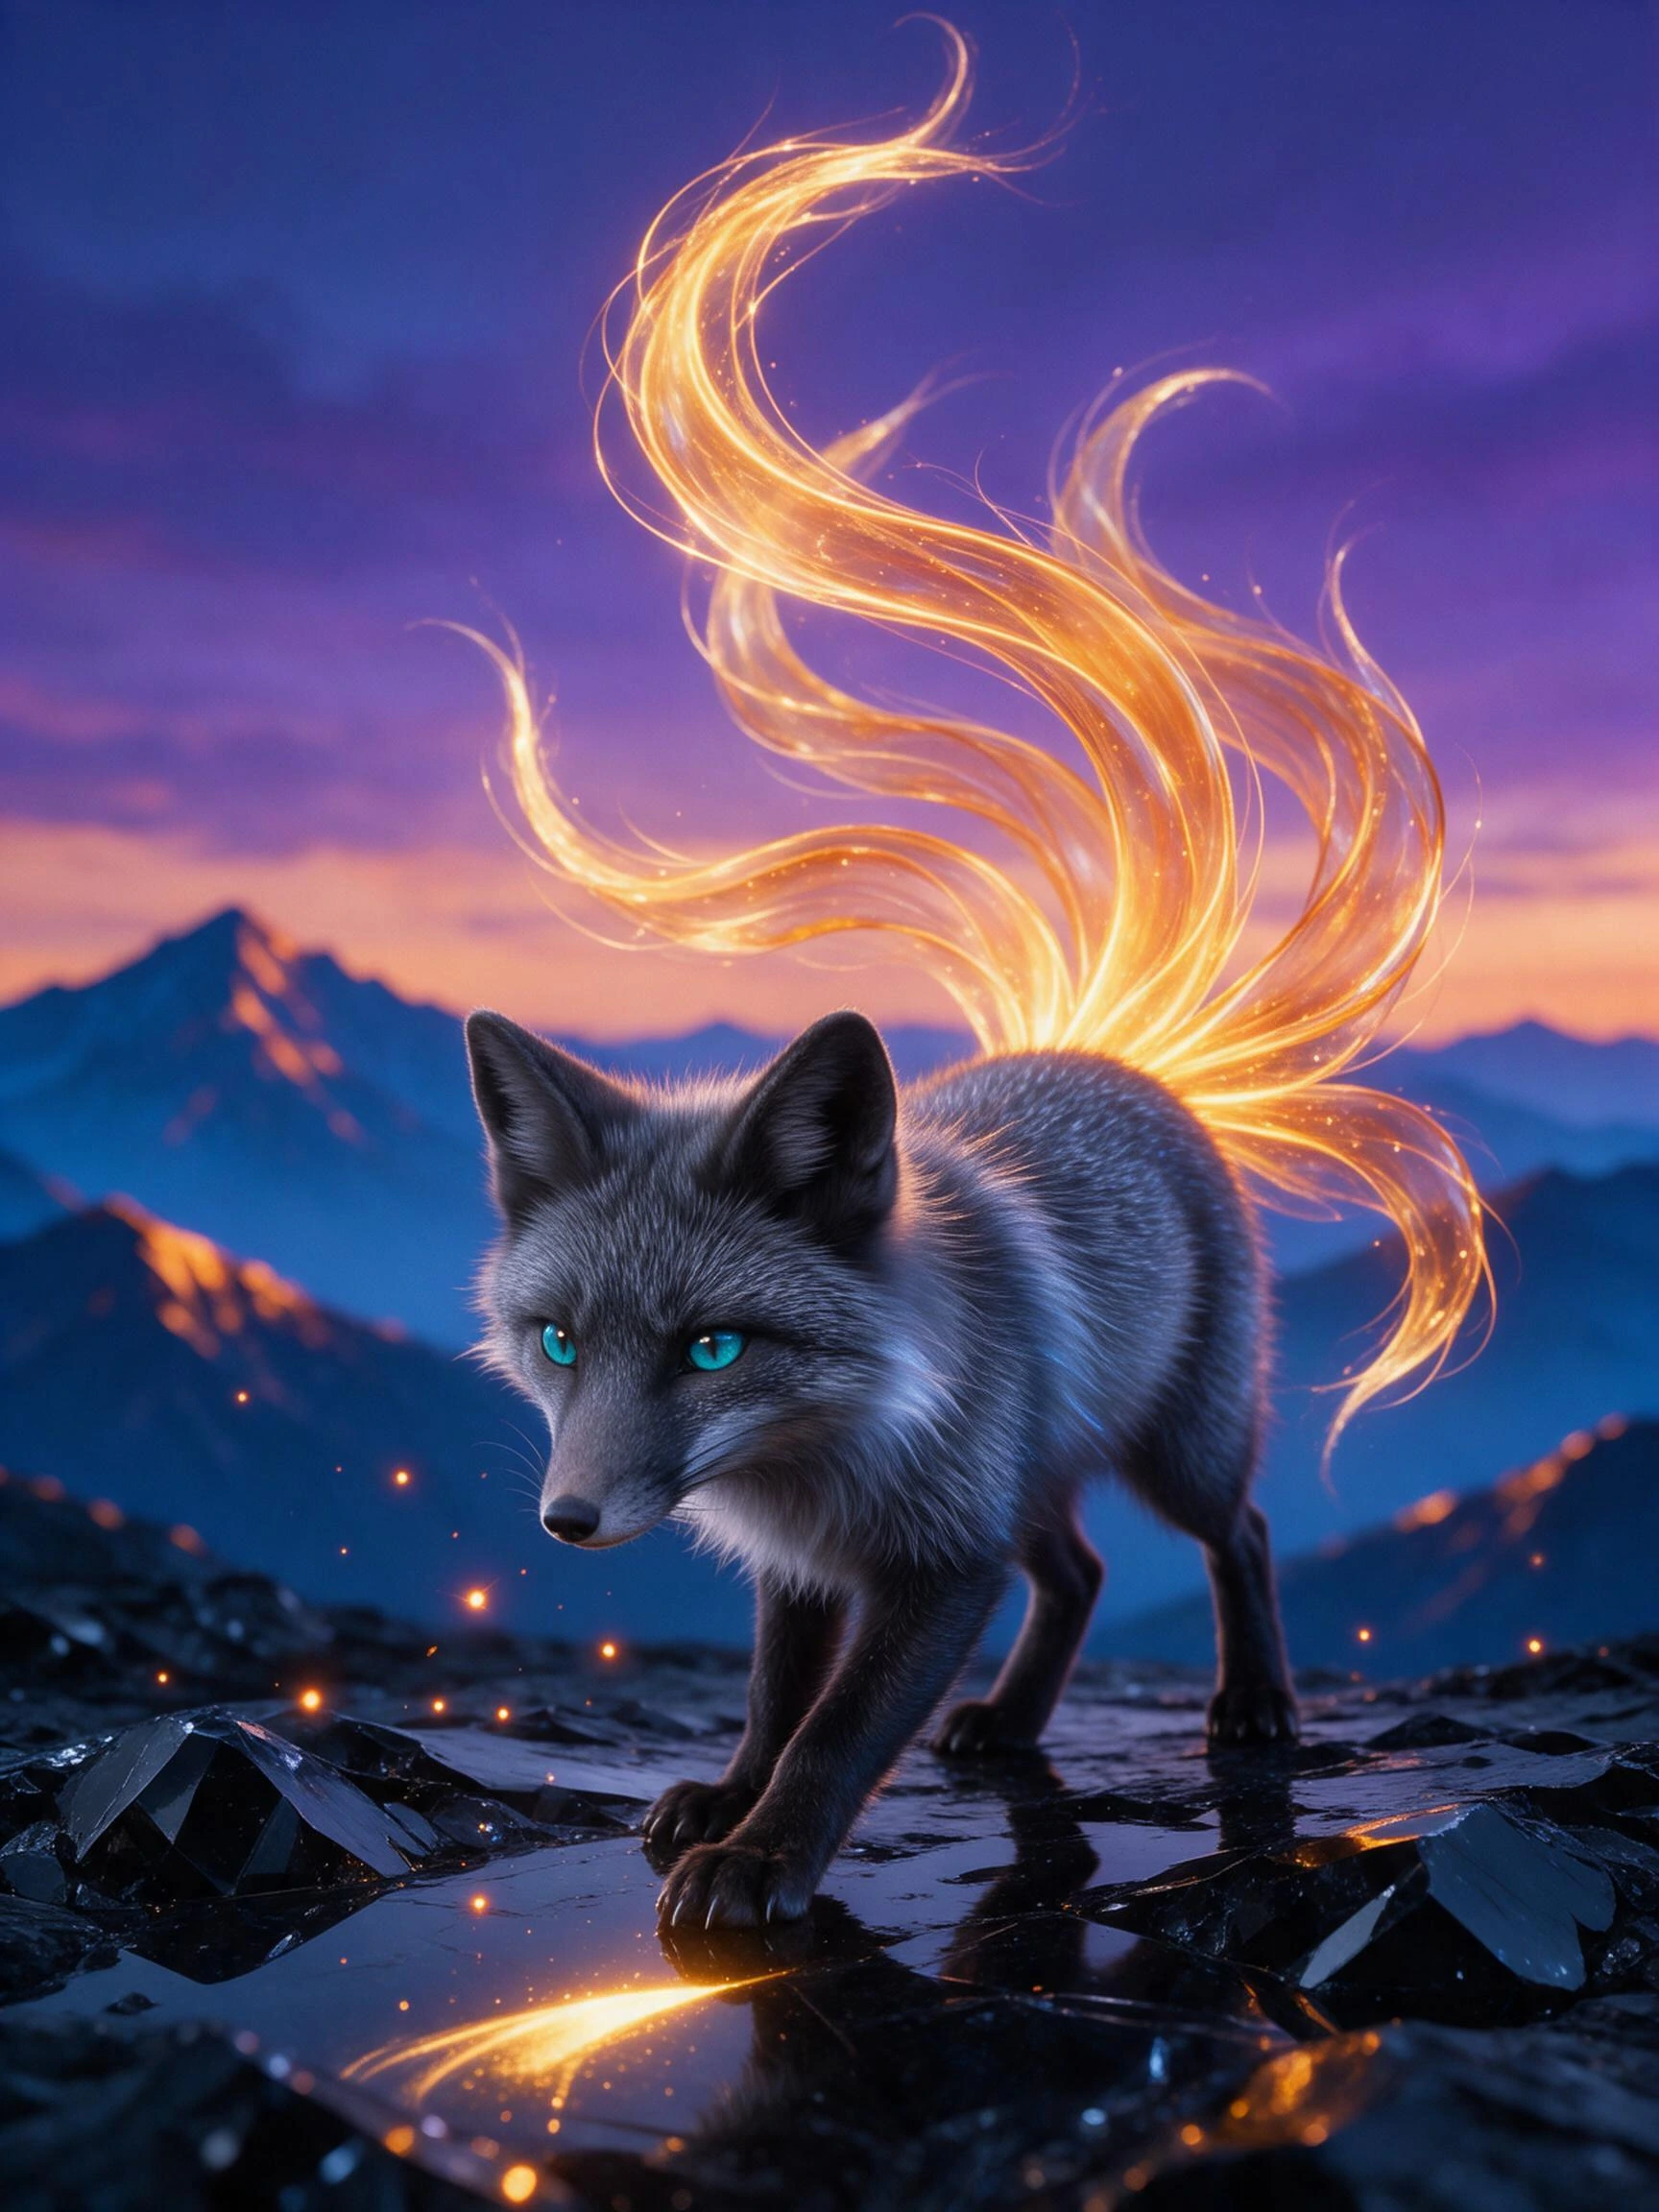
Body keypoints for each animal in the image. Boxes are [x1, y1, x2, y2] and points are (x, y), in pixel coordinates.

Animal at [463, 33, 1486, 1931]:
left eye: (712, 1342)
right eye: (559, 1338)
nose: (567, 1525)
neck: (827, 1448)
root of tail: (1118, 1057)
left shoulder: (927, 1562)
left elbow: (836, 1737)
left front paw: (759, 1862)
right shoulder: (802, 1561)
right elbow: (771, 1701)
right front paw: (716, 1803)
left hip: (1173, 1438)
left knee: (1225, 1535)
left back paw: (1250, 1703)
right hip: (1049, 1480)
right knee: (1072, 1572)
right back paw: (1011, 1727)